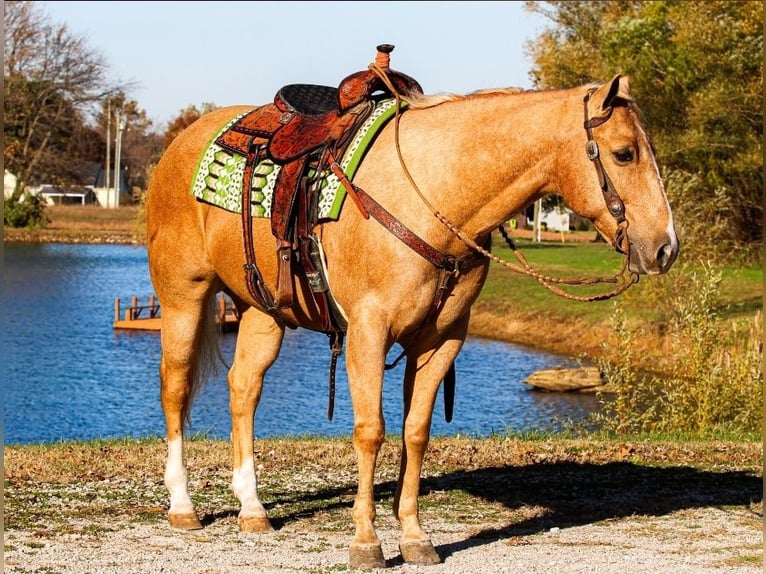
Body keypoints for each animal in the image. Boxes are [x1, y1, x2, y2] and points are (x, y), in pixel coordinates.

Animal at [145, 62, 679, 568]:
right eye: (624, 153)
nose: (665, 248)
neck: (434, 195)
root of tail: (181, 142)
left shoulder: (440, 340)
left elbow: (415, 433)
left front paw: (416, 538)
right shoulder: (368, 332)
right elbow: (371, 432)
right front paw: (366, 542)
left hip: (262, 311)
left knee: (243, 388)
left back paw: (252, 508)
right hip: (183, 296)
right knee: (175, 387)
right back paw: (183, 505)